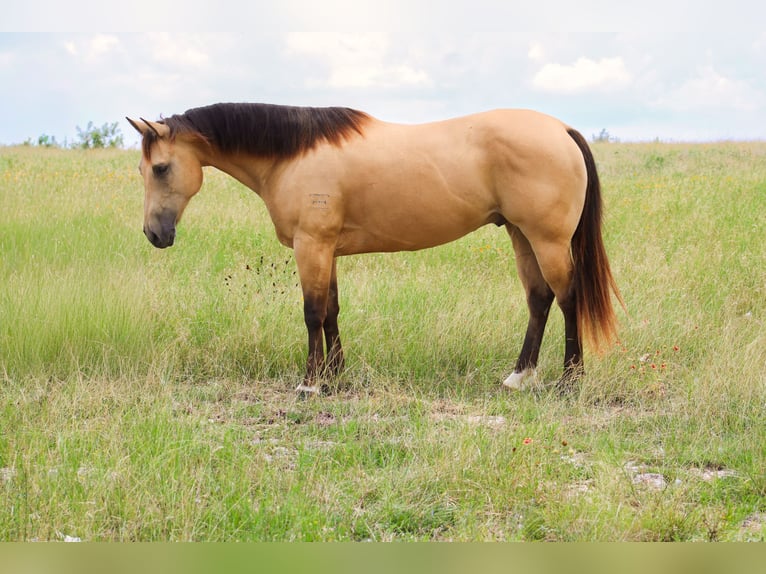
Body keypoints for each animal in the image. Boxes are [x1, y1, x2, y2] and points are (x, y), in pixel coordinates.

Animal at [127, 103, 623, 394]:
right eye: (143, 168)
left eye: (161, 167)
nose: (154, 234)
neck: (292, 155)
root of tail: (562, 129)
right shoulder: (326, 250)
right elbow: (331, 311)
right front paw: (335, 376)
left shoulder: (311, 245)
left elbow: (311, 313)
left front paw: (310, 384)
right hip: (521, 235)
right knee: (539, 300)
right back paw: (519, 376)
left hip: (547, 240)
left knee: (568, 298)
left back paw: (570, 380)